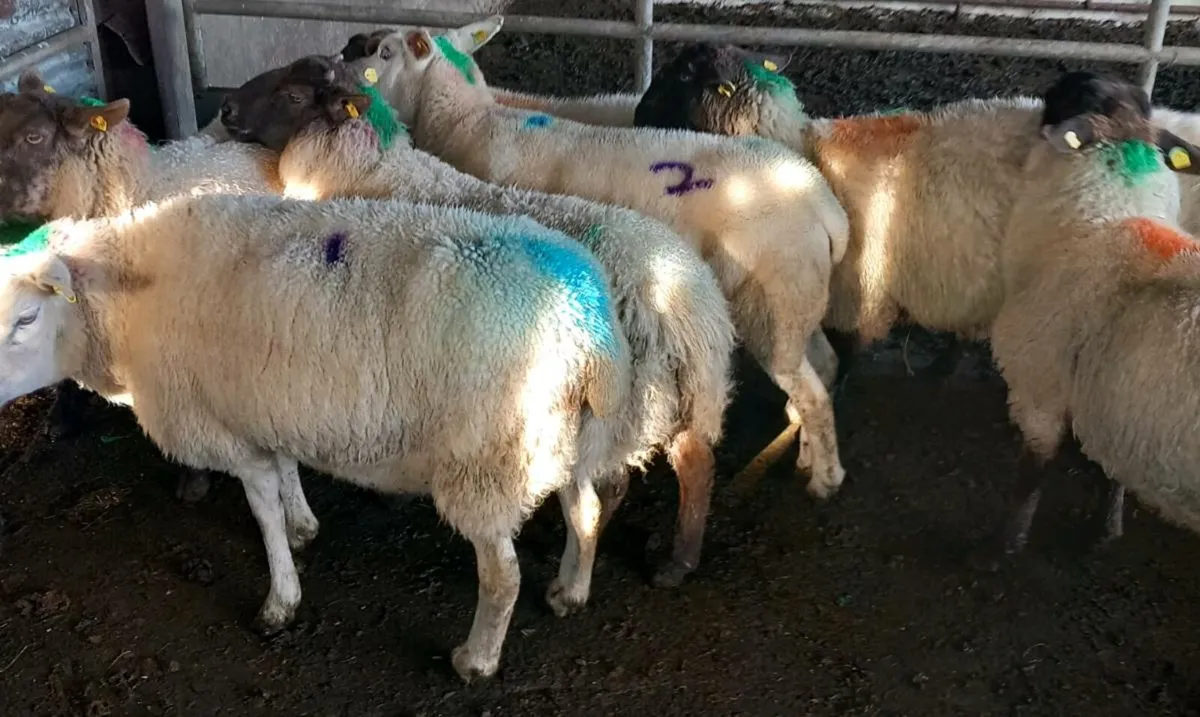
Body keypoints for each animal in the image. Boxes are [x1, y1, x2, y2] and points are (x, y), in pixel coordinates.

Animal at [0, 190, 633, 681]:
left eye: (26, 319)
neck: (126, 311)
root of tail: (586, 324)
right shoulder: (272, 408)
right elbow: (286, 473)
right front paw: (304, 526)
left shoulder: (229, 430)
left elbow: (263, 511)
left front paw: (280, 601)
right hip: (566, 438)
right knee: (587, 512)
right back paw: (570, 593)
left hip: (488, 459)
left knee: (502, 577)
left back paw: (475, 660)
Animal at [217, 56, 738, 589]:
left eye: (294, 96)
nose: (226, 107)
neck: (372, 170)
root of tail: (687, 300)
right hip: (677, 397)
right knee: (695, 460)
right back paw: (677, 556)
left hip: (622, 405)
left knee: (615, 482)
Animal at [360, 18, 852, 497]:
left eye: (383, 52)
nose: (347, 49)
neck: (466, 121)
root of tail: (823, 204)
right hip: (799, 302)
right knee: (825, 365)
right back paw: (809, 455)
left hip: (771, 309)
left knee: (810, 390)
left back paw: (826, 479)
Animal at [982, 71, 1200, 560]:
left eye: (1069, 96)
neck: (1103, 221)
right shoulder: (1120, 407)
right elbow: (1112, 470)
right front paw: (1105, 529)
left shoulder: (1038, 386)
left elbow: (1031, 477)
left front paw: (1005, 546)